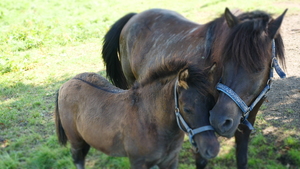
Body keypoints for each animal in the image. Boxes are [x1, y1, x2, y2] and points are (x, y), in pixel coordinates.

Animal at [55, 60, 220, 168]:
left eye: (212, 103)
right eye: (187, 109)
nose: (213, 149)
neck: (150, 120)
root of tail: (65, 84)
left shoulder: (170, 160)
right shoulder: (138, 162)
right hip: (75, 140)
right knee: (78, 159)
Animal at [102, 7, 288, 168]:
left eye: (258, 68)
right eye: (225, 62)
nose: (221, 121)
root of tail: (134, 17)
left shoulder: (247, 120)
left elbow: (241, 159)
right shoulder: (198, 121)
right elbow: (202, 160)